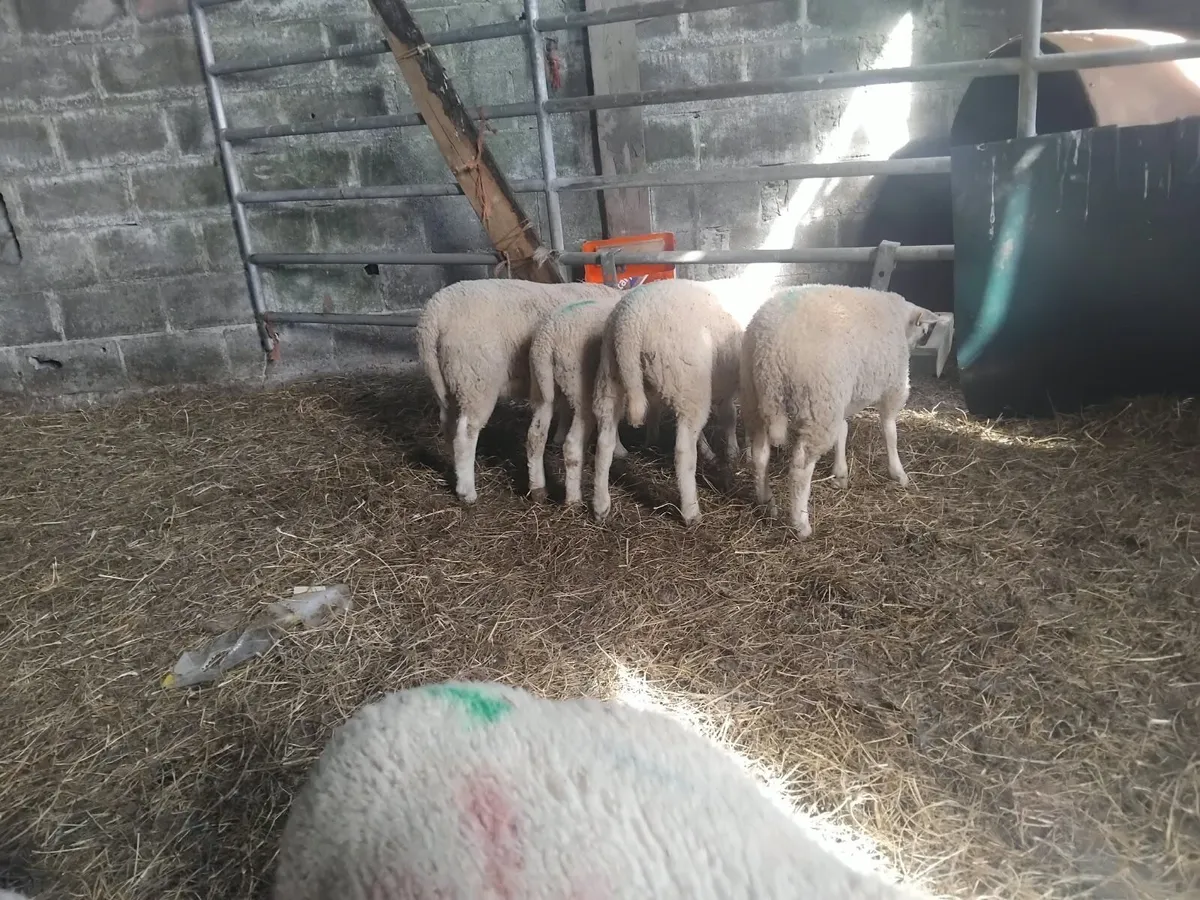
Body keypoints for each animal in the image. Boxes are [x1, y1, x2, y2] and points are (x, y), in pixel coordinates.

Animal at [415, 279, 622, 504]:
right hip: (477, 380)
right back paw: (467, 491)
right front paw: (620, 449)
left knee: (448, 424)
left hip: (448, 383)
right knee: (466, 434)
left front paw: (559, 436)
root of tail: (433, 316)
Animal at [591, 278, 759, 527]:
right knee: (683, 451)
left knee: (604, 442)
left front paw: (726, 452)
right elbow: (736, 417)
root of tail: (629, 327)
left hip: (610, 377)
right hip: (688, 381)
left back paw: (601, 507)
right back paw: (691, 511)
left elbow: (728, 415)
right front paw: (739, 453)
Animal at [740, 284, 940, 539]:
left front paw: (841, 472)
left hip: (755, 398)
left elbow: (843, 431)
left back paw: (765, 500)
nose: (921, 343)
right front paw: (898, 472)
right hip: (819, 403)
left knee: (760, 454)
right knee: (800, 467)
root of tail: (769, 350)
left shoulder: (844, 398)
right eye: (924, 329)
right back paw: (801, 524)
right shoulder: (894, 387)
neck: (899, 317)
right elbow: (890, 431)